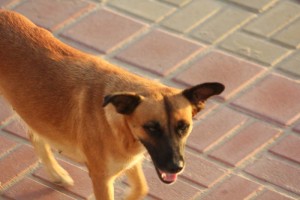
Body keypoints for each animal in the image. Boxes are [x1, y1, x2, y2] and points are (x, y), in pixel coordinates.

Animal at [0, 10, 224, 200]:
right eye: (151, 128)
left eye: (183, 127)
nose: (176, 167)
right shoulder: (101, 178)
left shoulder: (129, 161)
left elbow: (141, 188)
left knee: (35, 134)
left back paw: (56, 173)